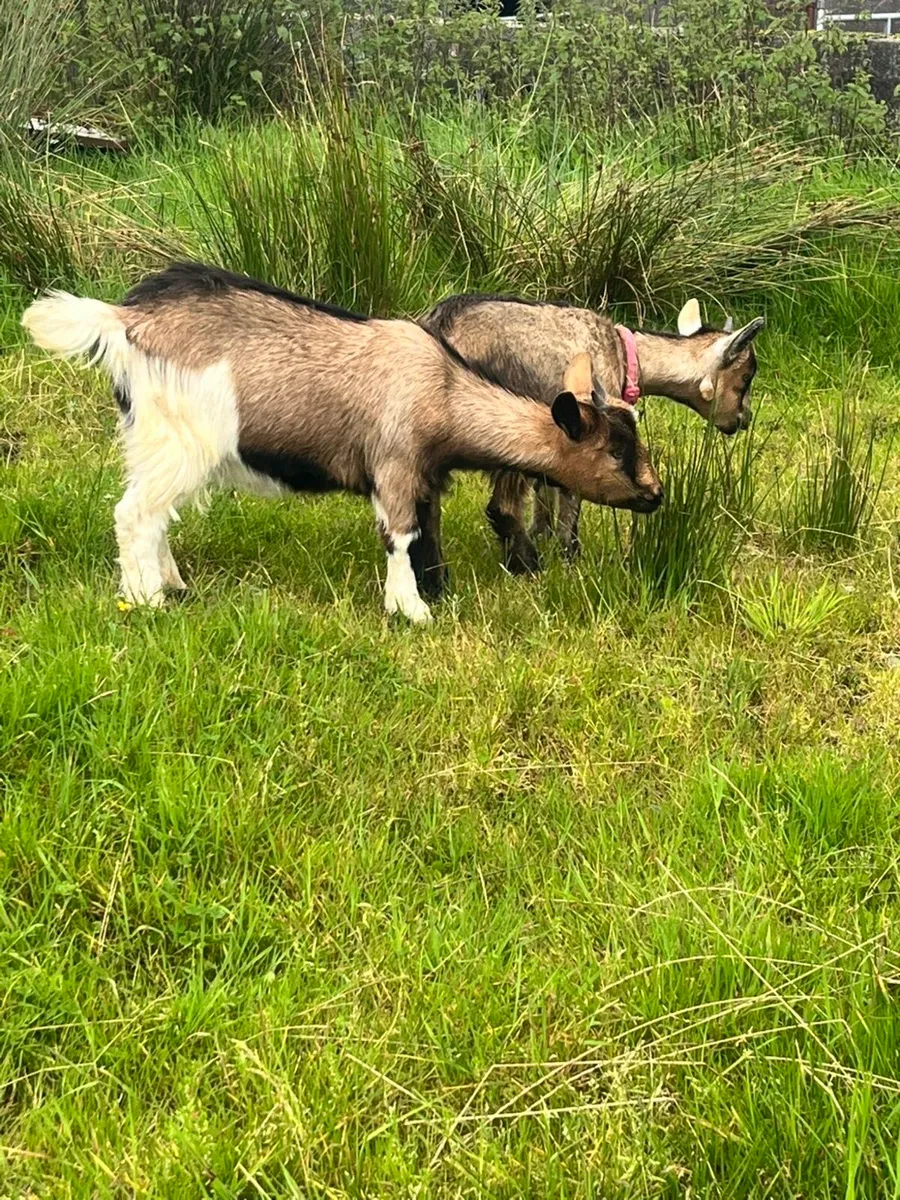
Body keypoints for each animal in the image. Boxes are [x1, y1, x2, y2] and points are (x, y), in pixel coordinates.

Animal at [22, 263, 664, 622]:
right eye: (615, 451)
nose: (657, 495)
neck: (444, 388)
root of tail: (123, 319)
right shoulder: (395, 465)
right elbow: (400, 536)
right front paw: (412, 610)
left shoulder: (424, 478)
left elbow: (425, 531)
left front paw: (437, 589)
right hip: (178, 437)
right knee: (134, 514)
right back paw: (146, 601)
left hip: (150, 438)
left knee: (154, 516)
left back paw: (174, 585)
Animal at [423, 293, 764, 572]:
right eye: (746, 376)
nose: (743, 419)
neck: (624, 355)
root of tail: (444, 328)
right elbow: (570, 494)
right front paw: (570, 558)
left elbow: (546, 488)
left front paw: (544, 535)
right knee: (503, 506)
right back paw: (527, 565)